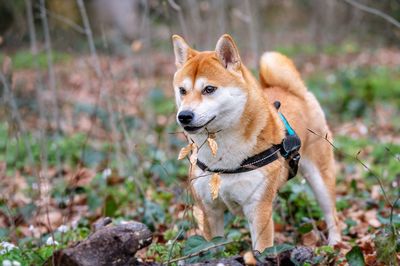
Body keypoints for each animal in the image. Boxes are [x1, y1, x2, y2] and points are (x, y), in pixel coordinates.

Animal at [171, 33, 340, 251]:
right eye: (182, 90)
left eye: (209, 89)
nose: (184, 116)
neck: (222, 153)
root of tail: (297, 92)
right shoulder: (209, 211)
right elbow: (213, 247)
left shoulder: (258, 210)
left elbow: (262, 250)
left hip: (320, 179)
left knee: (332, 214)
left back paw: (335, 244)